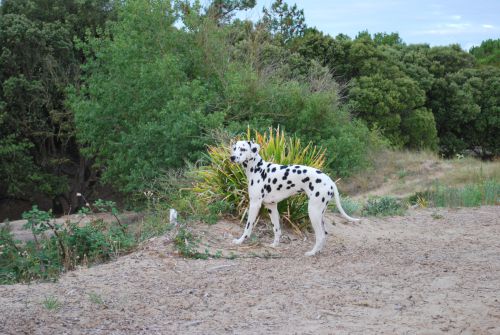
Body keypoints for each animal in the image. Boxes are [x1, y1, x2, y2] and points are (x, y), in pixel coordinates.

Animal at [230, 140, 360, 256]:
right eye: (234, 148)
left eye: (243, 149)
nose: (232, 157)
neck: (258, 169)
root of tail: (330, 181)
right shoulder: (271, 206)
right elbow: (276, 229)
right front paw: (275, 245)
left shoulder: (254, 204)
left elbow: (248, 227)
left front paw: (240, 241)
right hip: (320, 214)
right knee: (324, 235)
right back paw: (318, 251)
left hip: (313, 212)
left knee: (320, 236)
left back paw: (312, 253)